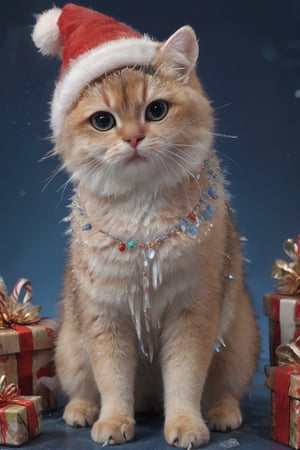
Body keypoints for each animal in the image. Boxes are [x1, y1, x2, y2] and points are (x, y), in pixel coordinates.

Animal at [32, 5, 258, 448]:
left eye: (156, 111)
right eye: (103, 120)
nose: (134, 139)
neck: (143, 224)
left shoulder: (194, 312)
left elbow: (186, 378)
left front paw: (186, 424)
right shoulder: (104, 317)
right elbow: (112, 380)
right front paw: (114, 421)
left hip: (238, 340)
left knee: (222, 387)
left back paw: (222, 412)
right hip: (69, 348)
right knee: (84, 386)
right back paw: (81, 410)